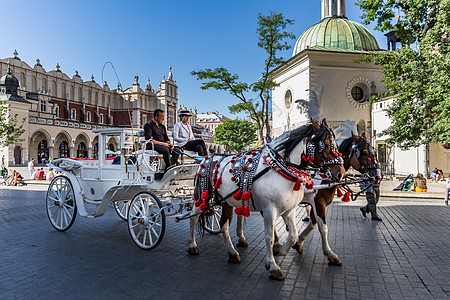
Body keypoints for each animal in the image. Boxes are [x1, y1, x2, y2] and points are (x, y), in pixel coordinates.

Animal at [186, 119, 344, 282]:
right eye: (325, 145)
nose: (340, 174)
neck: (282, 170)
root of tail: (207, 157)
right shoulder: (270, 210)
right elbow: (269, 237)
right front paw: (273, 266)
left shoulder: (289, 210)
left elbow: (294, 234)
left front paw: (281, 250)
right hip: (201, 196)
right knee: (193, 217)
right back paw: (192, 246)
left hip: (225, 201)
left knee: (224, 224)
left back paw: (232, 253)